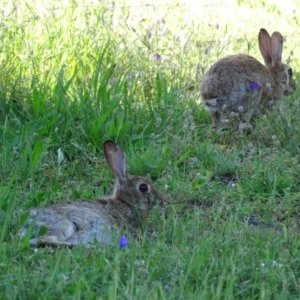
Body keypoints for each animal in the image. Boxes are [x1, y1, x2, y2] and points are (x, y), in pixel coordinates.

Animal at [19, 139, 166, 247]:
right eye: (143, 187)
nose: (163, 199)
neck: (126, 203)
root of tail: (21, 227)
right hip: (64, 224)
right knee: (44, 240)